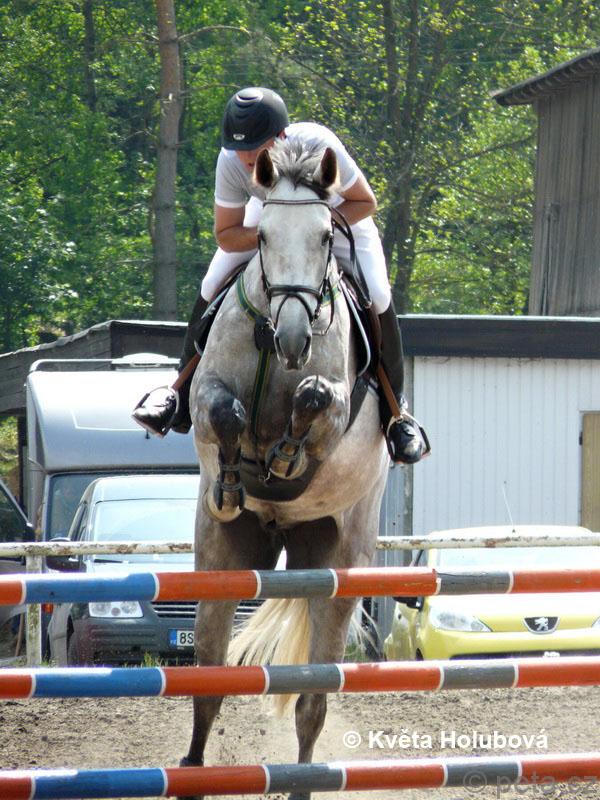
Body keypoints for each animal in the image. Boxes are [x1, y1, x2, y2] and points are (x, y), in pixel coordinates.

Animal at [184, 138, 389, 800]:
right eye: (264, 236)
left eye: (326, 237)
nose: (295, 338)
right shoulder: (208, 395)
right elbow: (223, 411)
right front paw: (234, 476)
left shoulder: (338, 406)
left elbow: (316, 400)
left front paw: (285, 454)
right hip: (222, 555)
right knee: (207, 684)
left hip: (339, 562)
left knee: (312, 703)